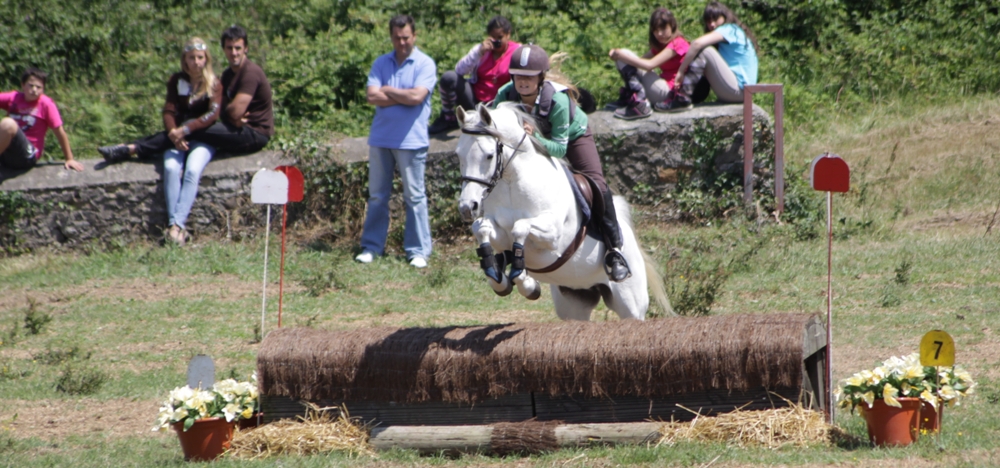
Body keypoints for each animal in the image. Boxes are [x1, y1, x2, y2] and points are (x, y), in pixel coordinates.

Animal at [454, 103, 672, 322]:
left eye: (489, 155)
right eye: (459, 155)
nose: (467, 207)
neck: (510, 182)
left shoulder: (553, 235)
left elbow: (520, 227)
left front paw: (525, 282)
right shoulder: (499, 233)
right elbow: (482, 229)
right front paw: (500, 274)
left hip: (631, 305)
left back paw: (617, 264)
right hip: (573, 303)